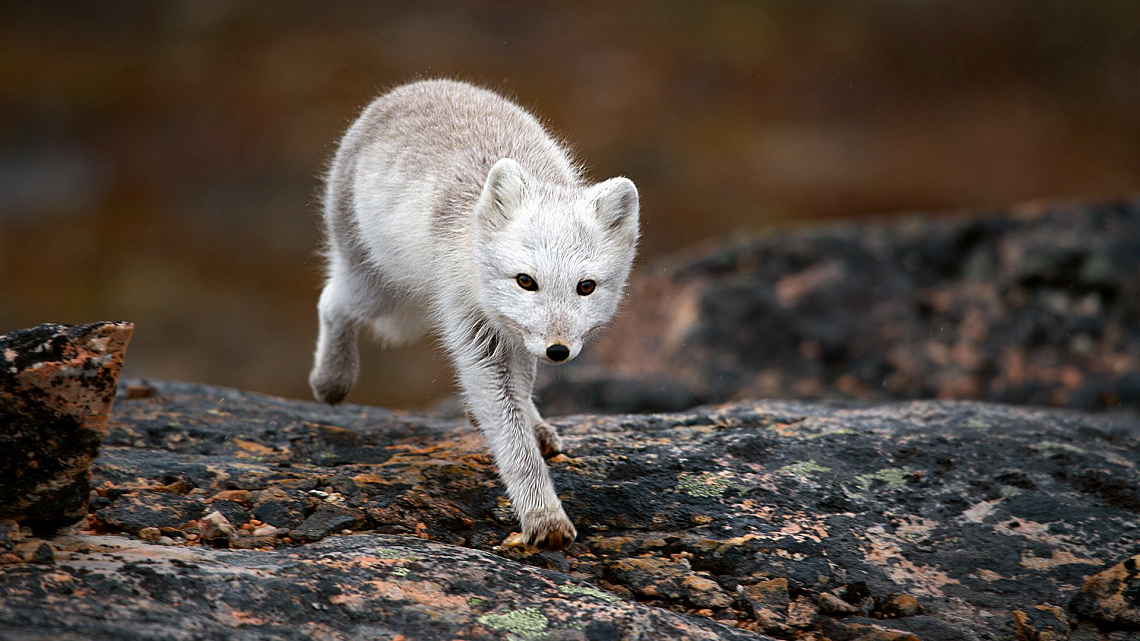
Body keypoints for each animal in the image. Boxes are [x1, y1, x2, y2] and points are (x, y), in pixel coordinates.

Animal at [307, 78, 638, 549]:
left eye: (586, 287)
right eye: (525, 281)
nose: (558, 351)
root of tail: (415, 86)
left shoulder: (517, 336)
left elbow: (519, 393)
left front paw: (531, 427)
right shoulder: (476, 332)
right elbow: (512, 438)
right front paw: (544, 518)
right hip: (376, 286)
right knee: (332, 301)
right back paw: (331, 380)